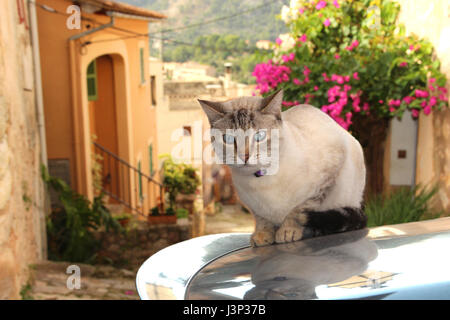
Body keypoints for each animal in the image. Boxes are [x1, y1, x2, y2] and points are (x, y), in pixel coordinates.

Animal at [199, 90, 368, 248]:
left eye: (259, 136)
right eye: (228, 139)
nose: (244, 156)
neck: (261, 179)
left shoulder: (326, 178)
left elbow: (298, 210)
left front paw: (288, 231)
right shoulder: (253, 205)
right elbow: (262, 219)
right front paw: (262, 236)